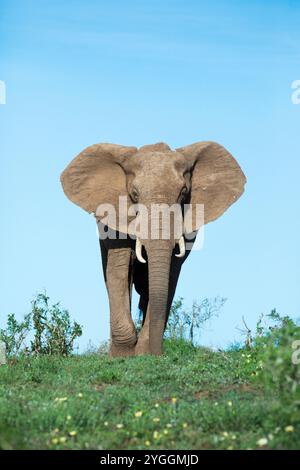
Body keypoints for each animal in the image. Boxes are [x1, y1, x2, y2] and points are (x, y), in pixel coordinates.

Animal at [61, 141, 246, 354]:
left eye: (184, 192)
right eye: (134, 194)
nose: (160, 355)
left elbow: (171, 274)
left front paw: (143, 353)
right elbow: (119, 270)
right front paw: (121, 355)